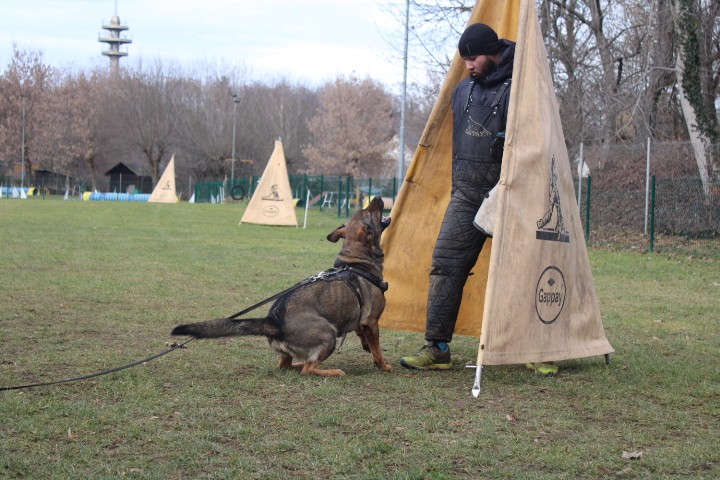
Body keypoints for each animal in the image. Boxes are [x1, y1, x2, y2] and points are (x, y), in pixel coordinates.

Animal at [171, 195, 390, 376]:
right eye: (370, 211)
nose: (378, 197)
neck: (356, 262)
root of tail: (274, 322)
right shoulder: (372, 321)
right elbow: (377, 350)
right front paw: (384, 366)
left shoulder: (361, 321)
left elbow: (364, 337)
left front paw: (366, 347)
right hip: (328, 334)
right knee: (309, 369)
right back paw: (333, 371)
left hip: (297, 350)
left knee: (285, 365)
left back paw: (298, 365)